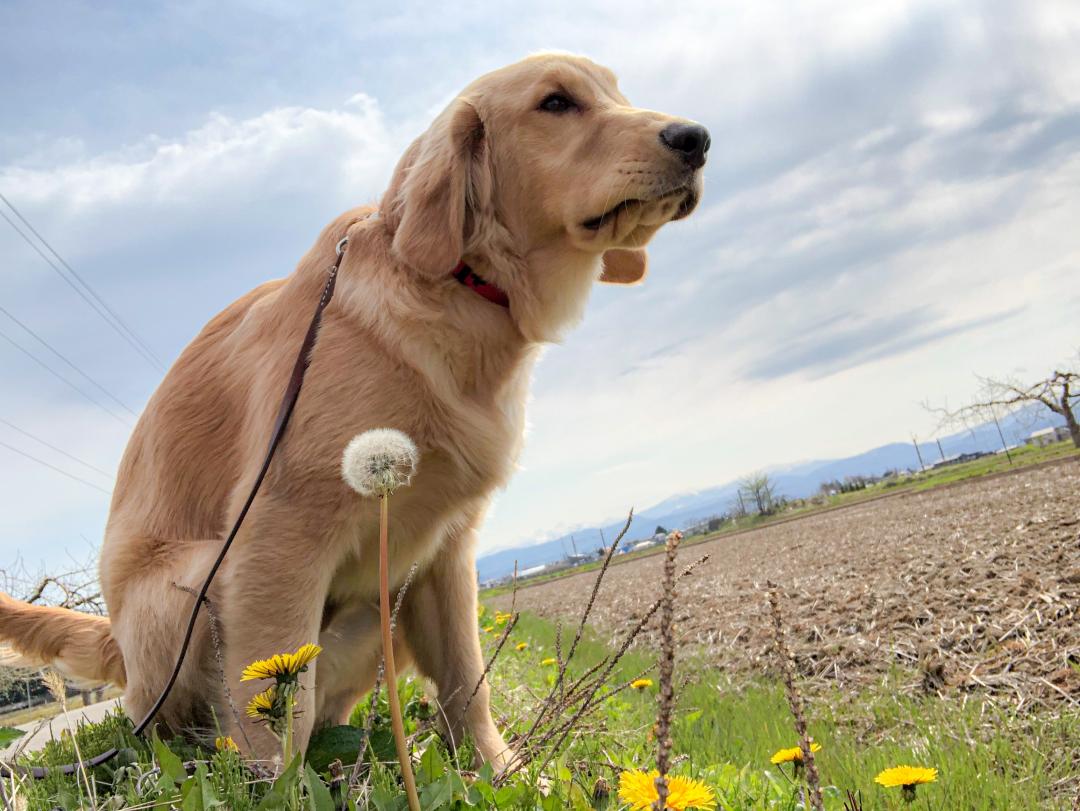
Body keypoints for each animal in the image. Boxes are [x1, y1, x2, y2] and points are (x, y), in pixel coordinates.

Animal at [0, 52, 708, 768]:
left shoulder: (448, 550)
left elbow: (467, 681)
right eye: (556, 103)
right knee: (204, 723)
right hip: (193, 583)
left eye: (619, 93)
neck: (457, 287)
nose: (697, 138)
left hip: (377, 610)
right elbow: (274, 713)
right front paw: (278, 785)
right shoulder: (276, 533)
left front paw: (497, 770)